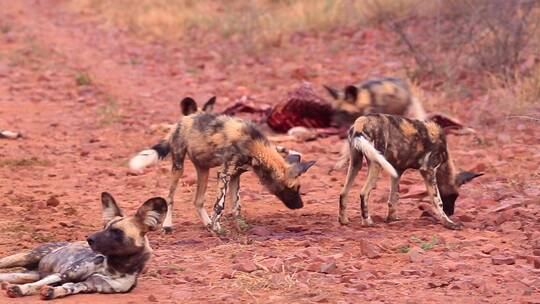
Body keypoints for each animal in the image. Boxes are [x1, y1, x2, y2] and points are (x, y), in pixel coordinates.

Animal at [0, 192, 167, 300]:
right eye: (105, 227)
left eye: (116, 231)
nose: (89, 239)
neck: (114, 268)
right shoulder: (64, 274)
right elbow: (35, 285)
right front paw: (20, 290)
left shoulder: (87, 285)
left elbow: (66, 288)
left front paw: (52, 292)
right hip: (25, 257)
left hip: (25, 274)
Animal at [129, 97, 314, 233]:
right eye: (292, 189)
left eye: (298, 188)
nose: (301, 205)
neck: (254, 146)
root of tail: (181, 120)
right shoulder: (224, 174)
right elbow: (220, 205)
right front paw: (218, 228)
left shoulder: (236, 175)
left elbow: (237, 205)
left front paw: (240, 225)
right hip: (178, 167)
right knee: (170, 198)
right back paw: (169, 225)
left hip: (203, 170)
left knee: (198, 201)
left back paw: (207, 224)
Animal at [340, 113, 484, 228]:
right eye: (453, 196)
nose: (451, 212)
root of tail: (361, 122)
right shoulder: (428, 170)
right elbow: (437, 201)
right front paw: (448, 223)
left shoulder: (397, 171)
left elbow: (394, 197)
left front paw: (392, 218)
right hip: (376, 163)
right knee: (364, 193)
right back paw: (367, 222)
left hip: (356, 163)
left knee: (343, 193)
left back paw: (343, 220)